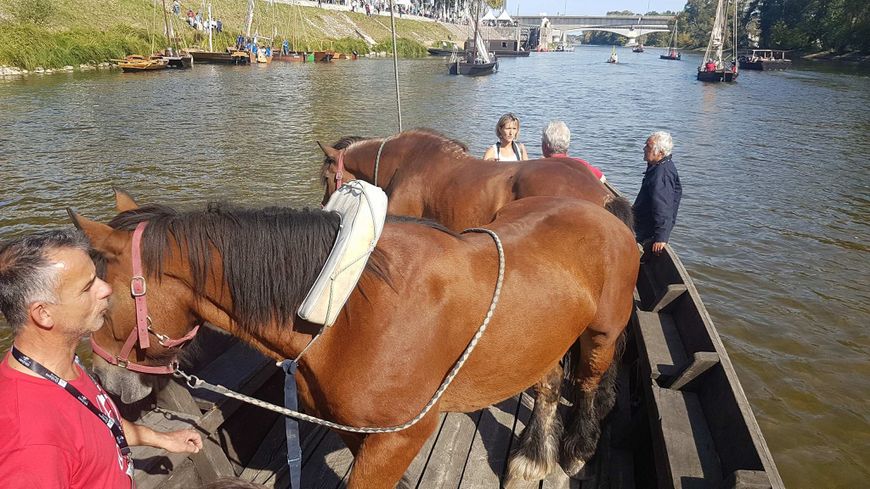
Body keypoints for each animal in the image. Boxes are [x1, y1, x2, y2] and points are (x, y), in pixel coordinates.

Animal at [71, 189, 636, 486]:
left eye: (101, 298)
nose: (103, 381)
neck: (343, 311)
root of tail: (603, 208)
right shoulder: (356, 427)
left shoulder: (403, 434)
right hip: (543, 339)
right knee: (546, 386)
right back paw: (534, 456)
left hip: (600, 335)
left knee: (587, 386)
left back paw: (574, 450)